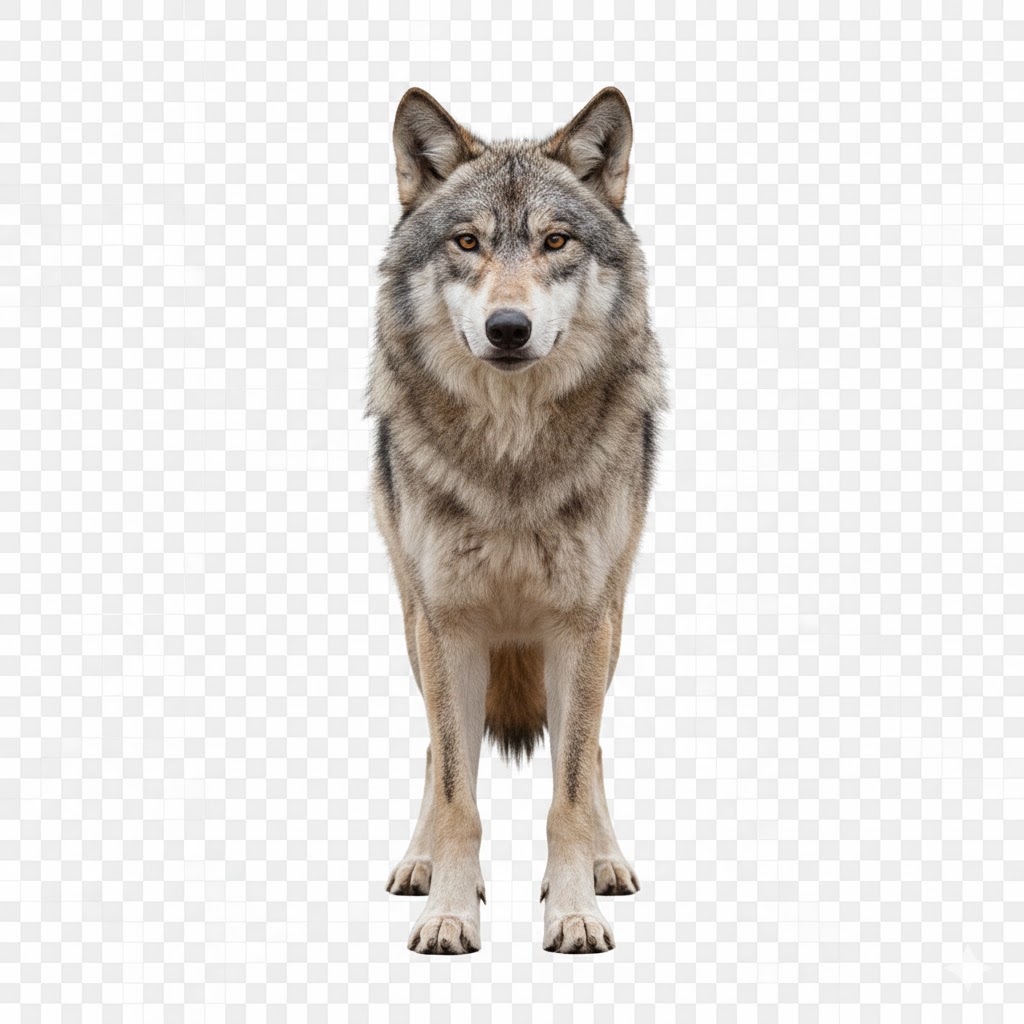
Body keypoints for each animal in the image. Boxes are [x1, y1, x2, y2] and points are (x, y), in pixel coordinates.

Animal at [365, 86, 668, 955]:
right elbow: (454, 789)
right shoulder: (447, 626)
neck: (511, 457)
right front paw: (447, 911)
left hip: (613, 622)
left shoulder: (581, 624)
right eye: (467, 241)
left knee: (591, 751)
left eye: (555, 241)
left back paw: (608, 862)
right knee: (435, 749)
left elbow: (568, 788)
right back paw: (417, 862)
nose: (508, 328)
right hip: (412, 624)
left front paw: (574, 910)